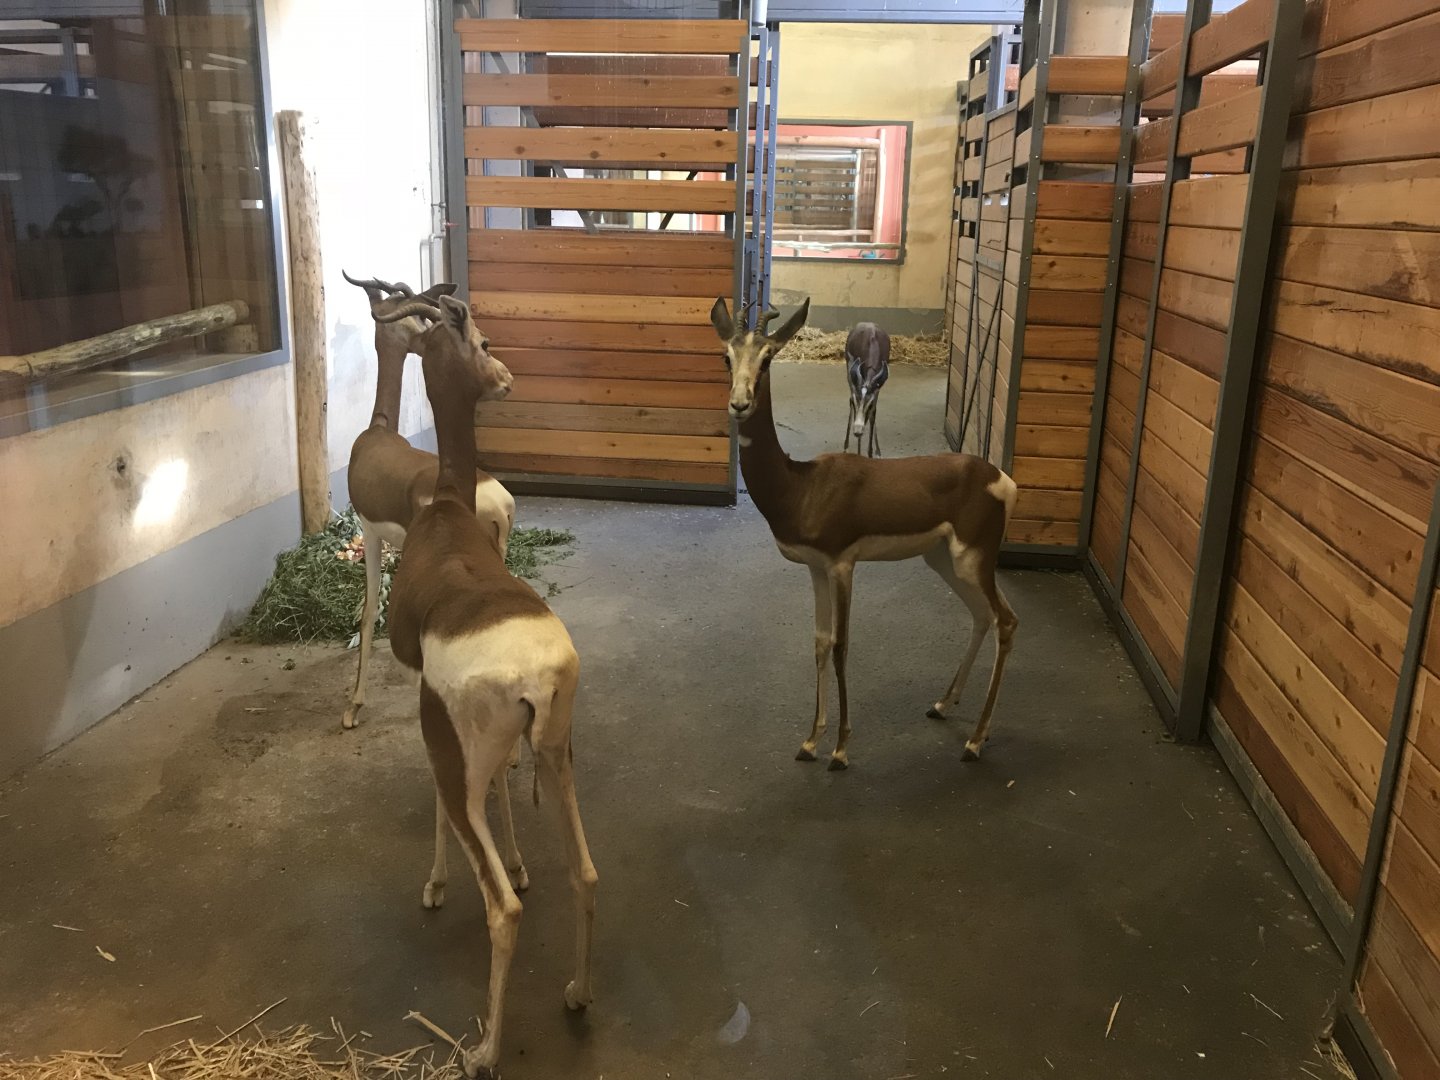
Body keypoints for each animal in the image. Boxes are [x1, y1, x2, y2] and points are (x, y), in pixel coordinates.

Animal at [339, 272, 515, 731]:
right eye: (416, 319)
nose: (507, 378)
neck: (377, 431)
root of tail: (499, 503)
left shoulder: (372, 534)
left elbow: (369, 612)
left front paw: (353, 706)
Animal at [381, 292, 598, 1080]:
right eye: (480, 340)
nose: (505, 377)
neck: (446, 508)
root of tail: (532, 670)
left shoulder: (429, 721)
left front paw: (435, 883)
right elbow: (509, 788)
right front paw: (520, 859)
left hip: (463, 770)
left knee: (503, 911)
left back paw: (482, 1050)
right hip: (559, 754)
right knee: (585, 874)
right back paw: (575, 992)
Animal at [843, 322, 890, 458]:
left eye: (869, 405)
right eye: (854, 402)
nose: (858, 431)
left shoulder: (877, 389)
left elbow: (873, 414)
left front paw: (871, 453)